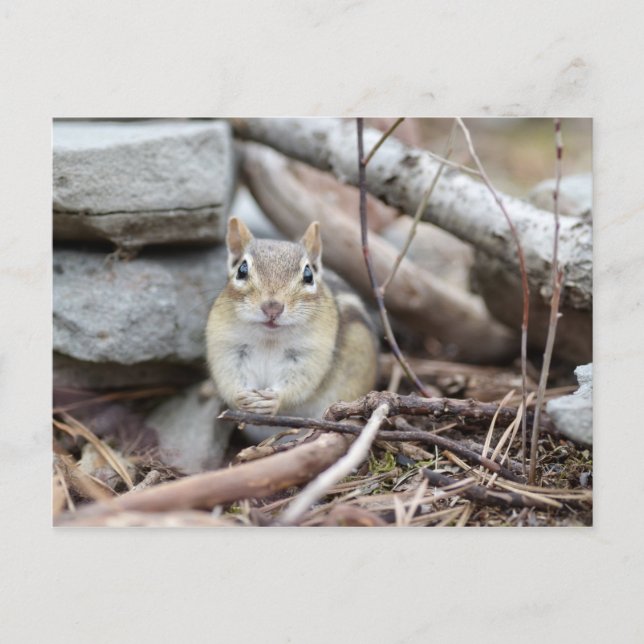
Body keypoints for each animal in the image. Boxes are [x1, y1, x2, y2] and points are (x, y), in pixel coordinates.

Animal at [206, 217, 378, 427]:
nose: (272, 307)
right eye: (242, 270)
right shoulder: (228, 348)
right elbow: (228, 378)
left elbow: (299, 385)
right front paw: (241, 398)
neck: (269, 340)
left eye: (308, 275)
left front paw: (274, 400)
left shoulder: (310, 354)